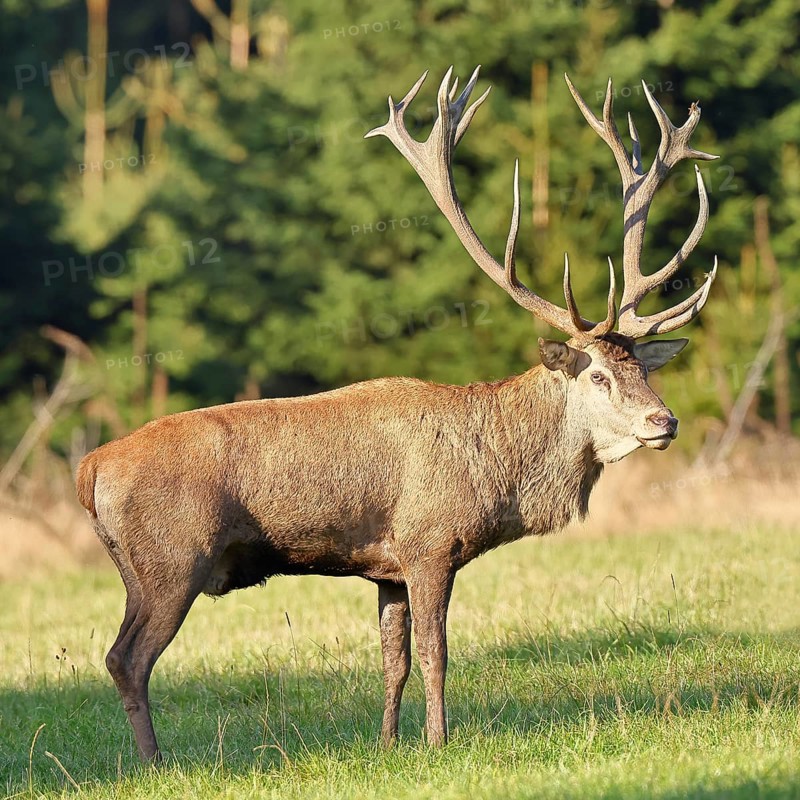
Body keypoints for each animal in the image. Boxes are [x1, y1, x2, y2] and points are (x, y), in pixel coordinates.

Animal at [75, 66, 718, 762]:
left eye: (645, 370)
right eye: (598, 374)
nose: (664, 422)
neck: (497, 471)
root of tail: (90, 469)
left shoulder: (385, 568)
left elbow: (394, 660)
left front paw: (387, 743)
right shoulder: (429, 543)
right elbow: (437, 654)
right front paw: (440, 741)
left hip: (139, 570)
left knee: (118, 654)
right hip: (173, 558)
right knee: (128, 658)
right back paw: (154, 762)